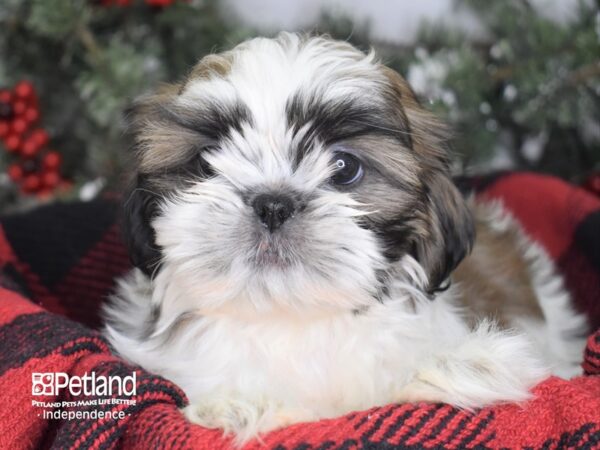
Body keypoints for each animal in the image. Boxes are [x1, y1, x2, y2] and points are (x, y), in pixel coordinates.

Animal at [102, 33, 584, 442]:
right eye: (206, 162)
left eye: (345, 167)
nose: (273, 203)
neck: (291, 319)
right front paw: (238, 405)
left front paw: (462, 367)